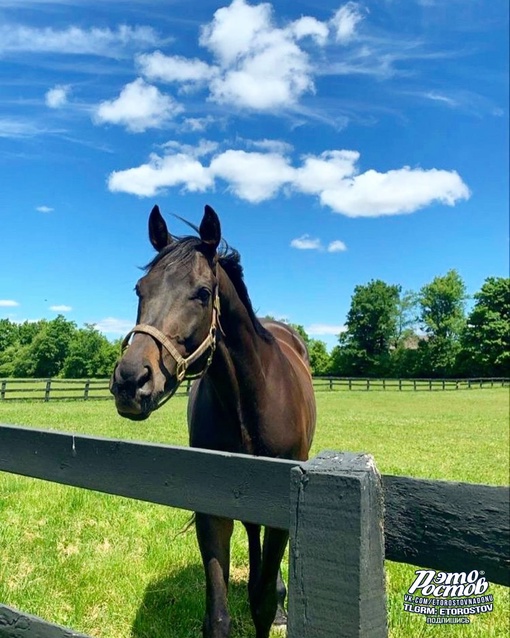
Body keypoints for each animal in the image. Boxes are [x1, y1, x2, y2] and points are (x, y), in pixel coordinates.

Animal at [111, 205, 316, 638]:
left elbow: (263, 603)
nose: (130, 381)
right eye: (140, 289)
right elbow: (218, 616)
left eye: (203, 293)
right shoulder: (213, 507)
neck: (250, 401)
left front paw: (273, 603)